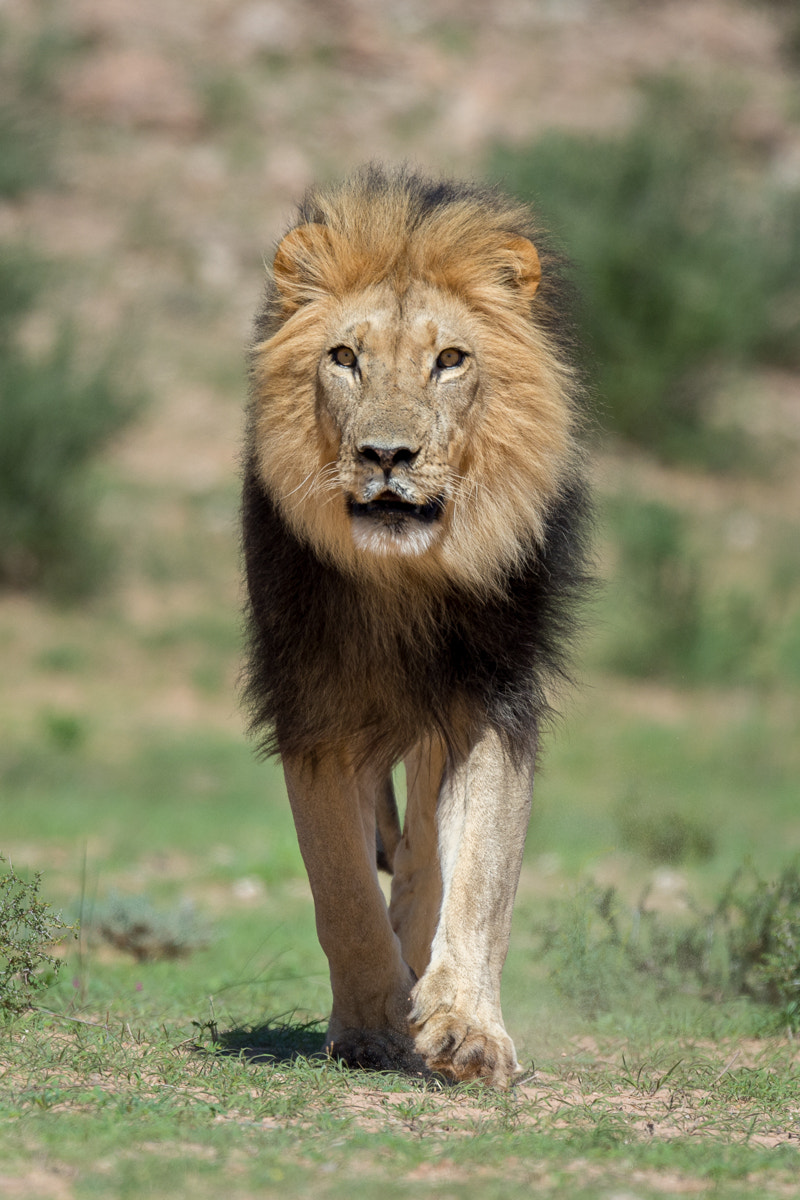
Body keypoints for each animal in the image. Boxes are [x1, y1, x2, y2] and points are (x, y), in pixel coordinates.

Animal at [242, 162, 587, 1089]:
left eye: (450, 361)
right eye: (345, 358)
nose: (387, 456)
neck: (404, 579)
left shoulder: (492, 706)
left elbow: (480, 880)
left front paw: (465, 1030)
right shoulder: (316, 714)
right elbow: (341, 892)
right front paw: (371, 1027)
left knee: (430, 855)